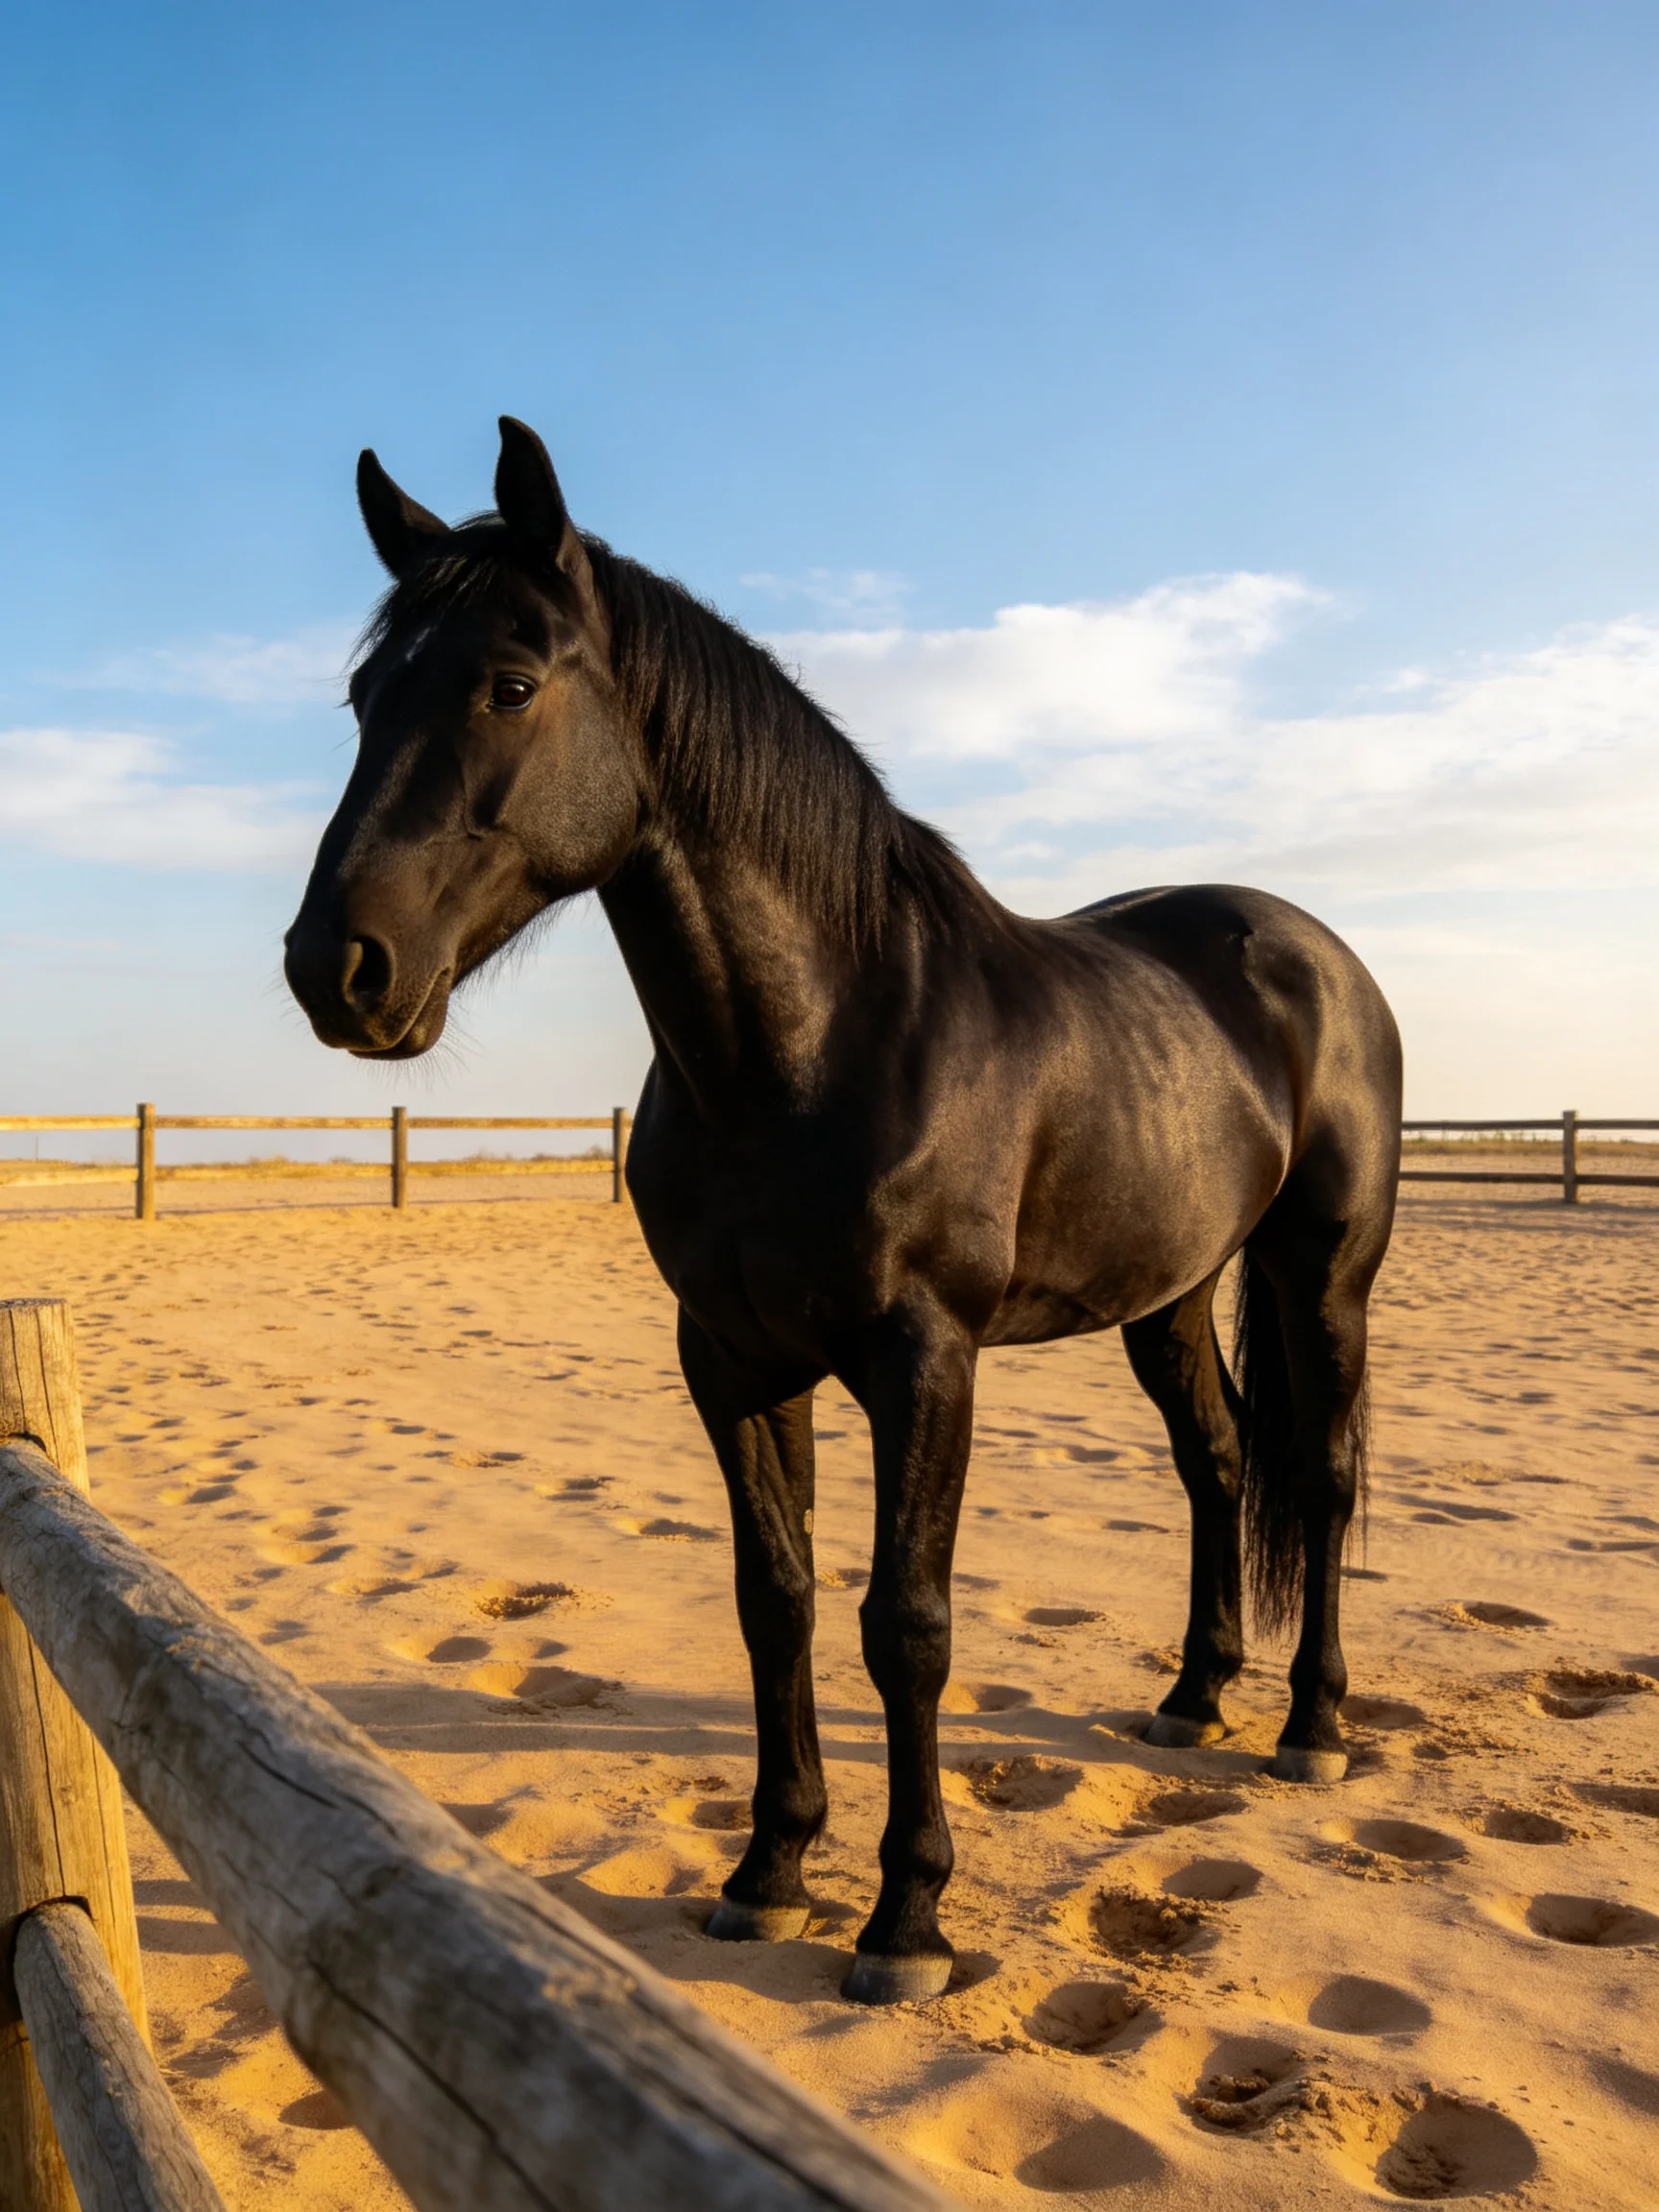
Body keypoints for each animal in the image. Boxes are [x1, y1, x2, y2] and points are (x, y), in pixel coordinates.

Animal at [285, 418, 1402, 2005]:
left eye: (508, 683)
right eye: (367, 695)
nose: (339, 968)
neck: (816, 1047)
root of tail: (1306, 947)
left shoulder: (922, 1362)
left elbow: (906, 1625)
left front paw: (906, 1920)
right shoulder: (733, 1359)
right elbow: (779, 1601)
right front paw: (768, 1873)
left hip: (1323, 1272)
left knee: (1320, 1472)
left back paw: (1312, 1727)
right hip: (1172, 1297)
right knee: (1220, 1462)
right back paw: (1193, 1698)